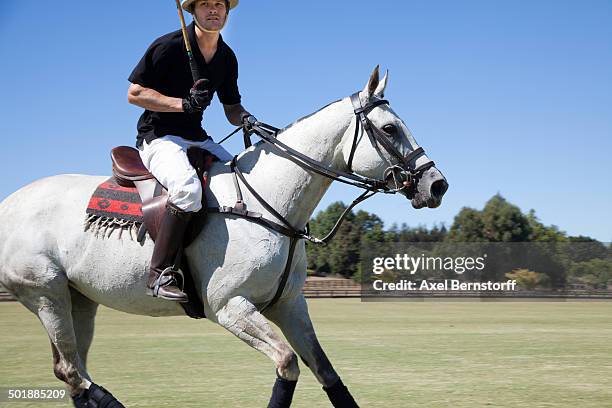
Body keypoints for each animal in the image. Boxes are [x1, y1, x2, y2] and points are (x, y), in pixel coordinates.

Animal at [0, 68, 450, 406]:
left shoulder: (288, 304)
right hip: (45, 292)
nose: (437, 185)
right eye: (390, 128)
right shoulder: (229, 306)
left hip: (80, 299)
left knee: (72, 370)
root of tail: (7, 204)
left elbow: (325, 370)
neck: (268, 203)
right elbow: (287, 362)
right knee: (71, 370)